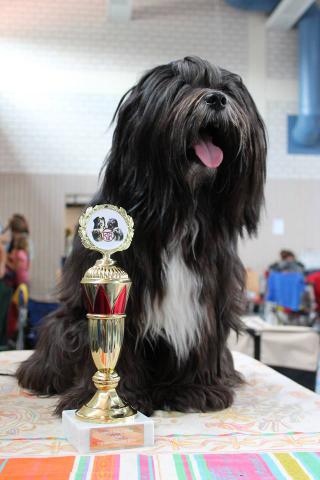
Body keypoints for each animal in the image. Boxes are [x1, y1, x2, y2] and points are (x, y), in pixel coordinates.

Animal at [17, 57, 268, 416]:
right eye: (181, 85)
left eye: (228, 91)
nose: (217, 99)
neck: (181, 210)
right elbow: (121, 350)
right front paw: (120, 397)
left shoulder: (208, 296)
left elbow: (201, 341)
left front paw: (196, 390)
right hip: (61, 326)